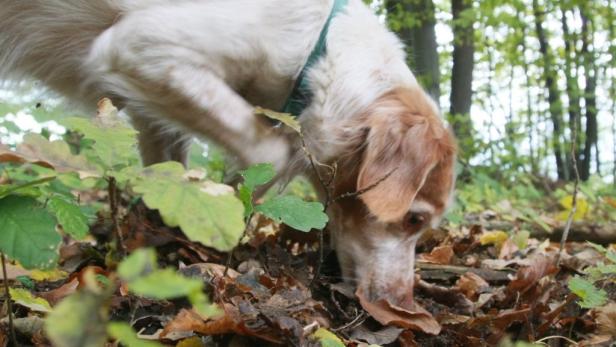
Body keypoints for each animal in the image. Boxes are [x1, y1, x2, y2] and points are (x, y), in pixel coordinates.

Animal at [1, 0, 458, 310]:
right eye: (414, 219)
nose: (403, 306)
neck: (317, 49)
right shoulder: (143, 46)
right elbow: (272, 152)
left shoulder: (156, 112)